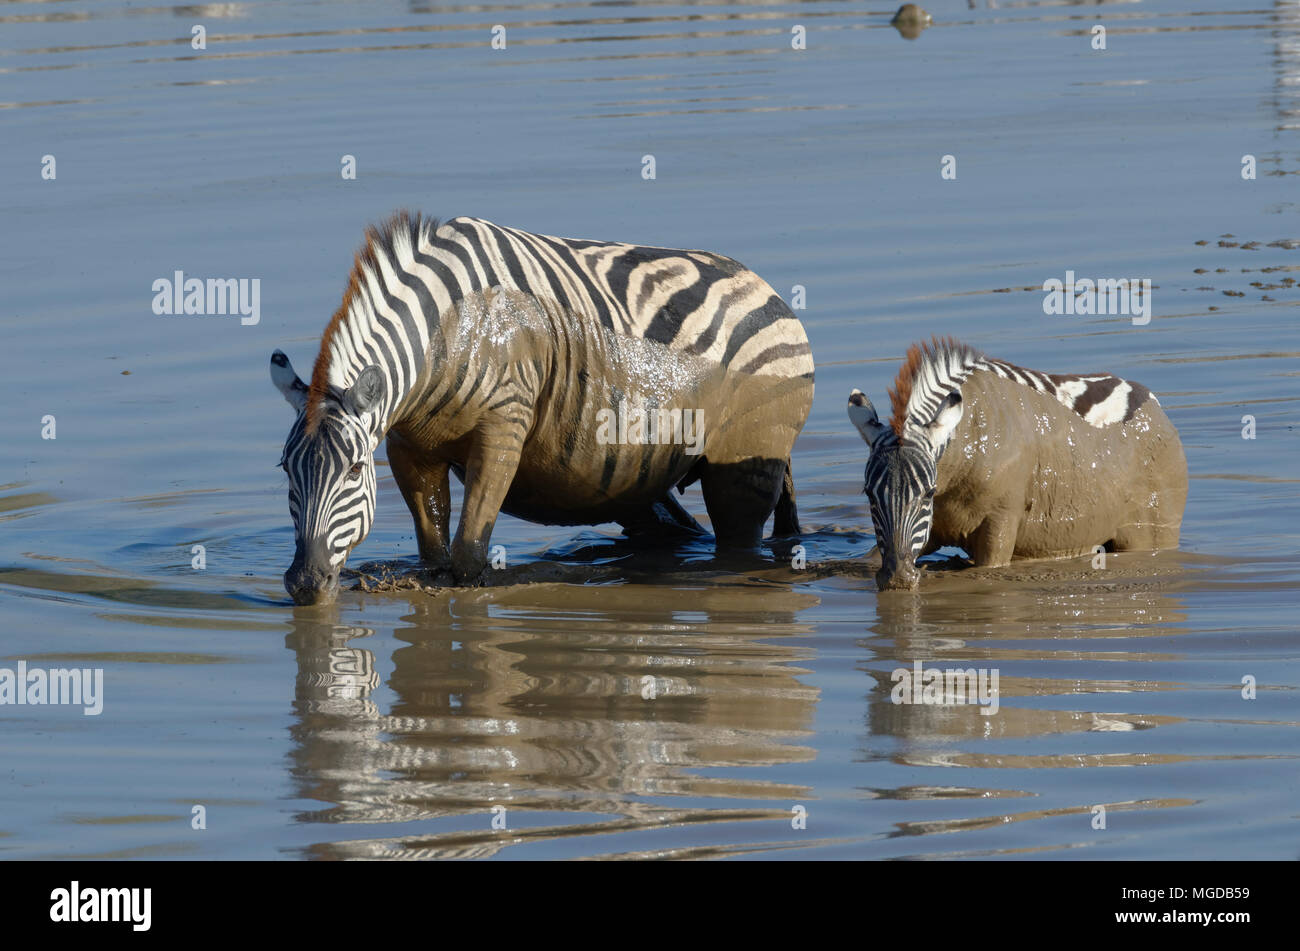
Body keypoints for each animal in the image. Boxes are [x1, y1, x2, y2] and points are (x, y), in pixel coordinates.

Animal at [269, 213, 811, 605]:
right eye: (286, 471)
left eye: (354, 470)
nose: (305, 585)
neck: (444, 338)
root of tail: (766, 289)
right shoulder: (408, 448)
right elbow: (433, 552)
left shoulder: (504, 426)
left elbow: (467, 558)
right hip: (642, 481)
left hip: (744, 465)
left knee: (738, 548)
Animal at [842, 337, 1190, 589]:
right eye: (869, 495)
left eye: (927, 493)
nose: (897, 580)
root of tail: (1149, 399)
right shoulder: (928, 532)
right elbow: (871, 556)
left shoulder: (1000, 523)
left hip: (1150, 534)